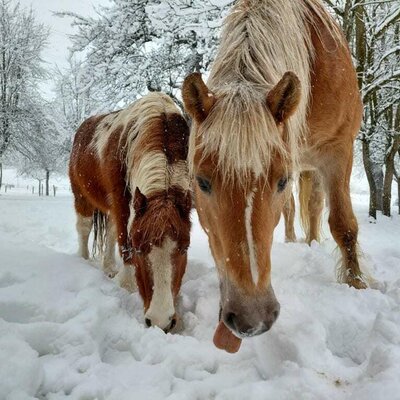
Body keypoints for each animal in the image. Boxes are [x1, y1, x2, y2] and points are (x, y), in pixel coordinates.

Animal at [69, 93, 192, 332]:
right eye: (140, 249)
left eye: (184, 248)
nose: (160, 322)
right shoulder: (121, 201)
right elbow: (123, 240)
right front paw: (126, 284)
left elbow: (117, 235)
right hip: (82, 196)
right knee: (84, 229)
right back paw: (83, 260)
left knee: (109, 233)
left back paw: (108, 267)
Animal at [183, 0, 364, 342]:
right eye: (201, 181)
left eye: (280, 181)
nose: (252, 317)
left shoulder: (338, 151)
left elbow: (344, 225)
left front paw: (357, 285)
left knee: (316, 208)